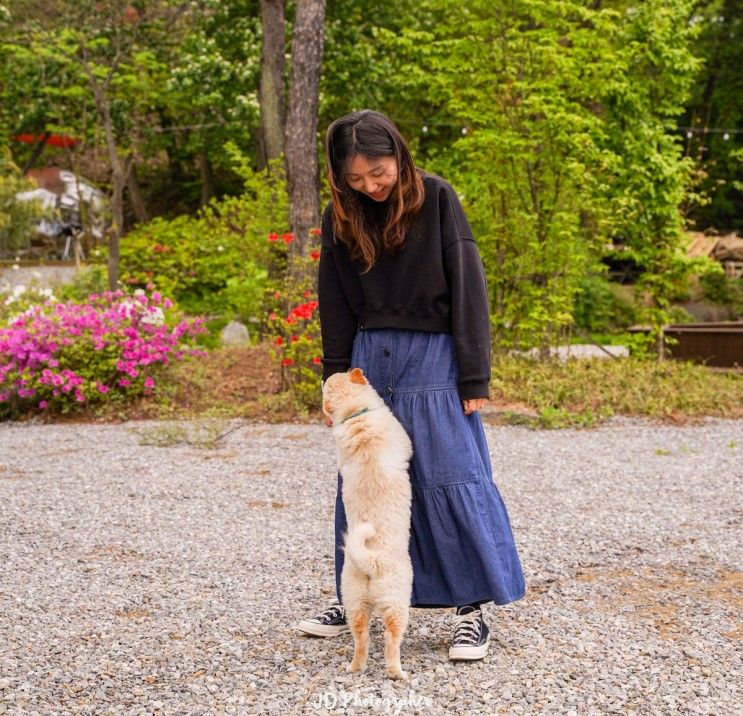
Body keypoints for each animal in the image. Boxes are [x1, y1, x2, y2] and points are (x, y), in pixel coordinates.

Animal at [322, 370, 416, 684]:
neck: (356, 416)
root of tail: (370, 561)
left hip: (354, 603)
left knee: (361, 639)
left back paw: (355, 667)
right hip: (397, 601)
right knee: (390, 639)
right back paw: (396, 672)